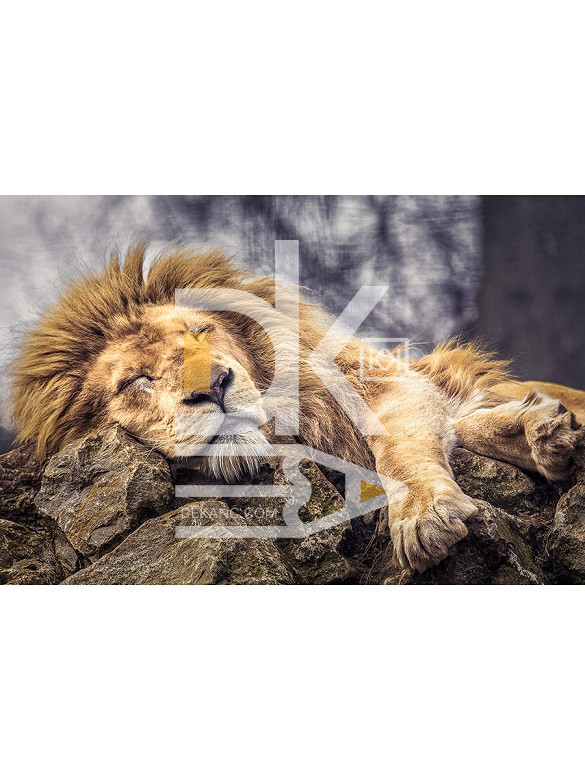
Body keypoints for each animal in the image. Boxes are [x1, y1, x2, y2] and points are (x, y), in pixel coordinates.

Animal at [10, 243, 585, 572]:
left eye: (202, 332)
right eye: (138, 380)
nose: (216, 385)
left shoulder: (381, 384)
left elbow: (401, 445)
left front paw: (425, 513)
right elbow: (465, 426)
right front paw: (541, 432)